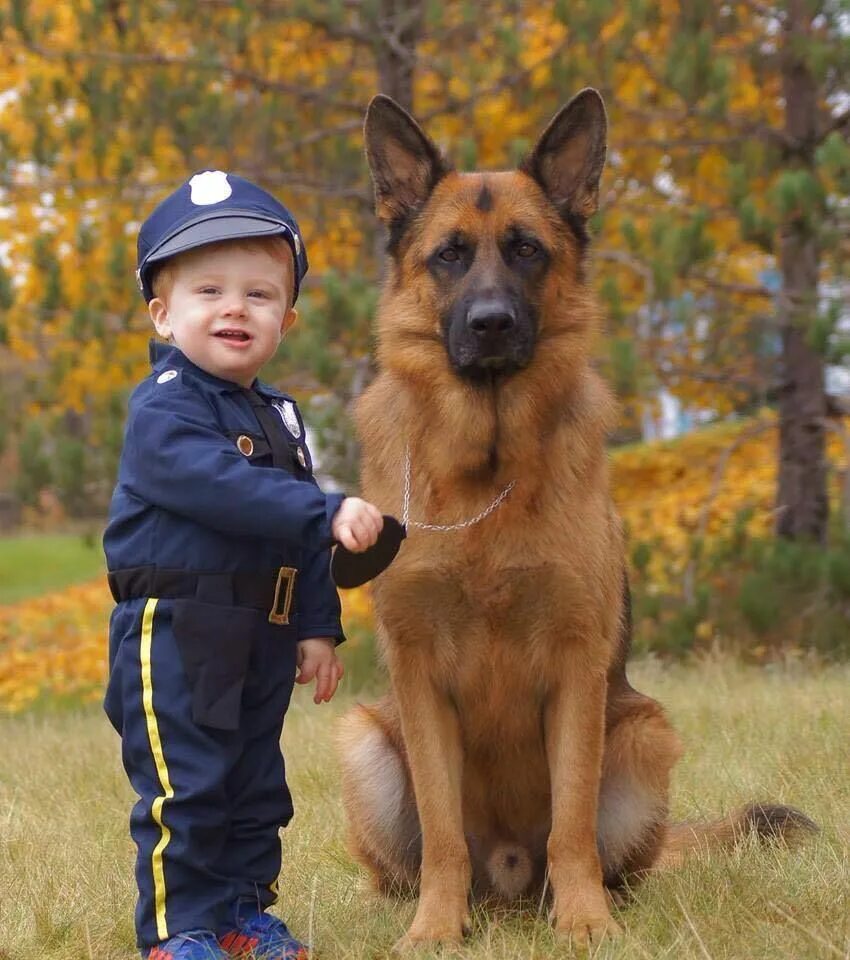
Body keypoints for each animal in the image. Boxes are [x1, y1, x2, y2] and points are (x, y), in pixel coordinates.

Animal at [334, 90, 812, 944]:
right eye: (450, 256)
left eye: (527, 250)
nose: (491, 323)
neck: (487, 475)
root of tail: (507, 889)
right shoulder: (419, 678)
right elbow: (444, 833)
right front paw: (433, 931)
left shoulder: (576, 669)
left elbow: (571, 824)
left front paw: (586, 925)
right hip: (363, 741)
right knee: (409, 863)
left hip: (645, 736)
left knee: (603, 850)